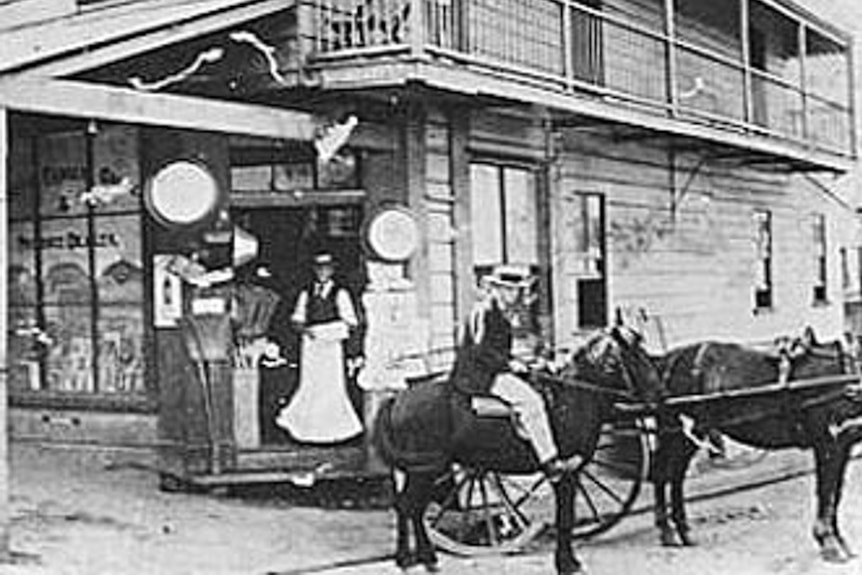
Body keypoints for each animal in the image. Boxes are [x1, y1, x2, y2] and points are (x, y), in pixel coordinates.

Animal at [372, 326, 668, 572]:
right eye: (633, 355)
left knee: (409, 506)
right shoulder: (566, 472)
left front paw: (568, 560)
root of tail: (398, 397)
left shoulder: (571, 472)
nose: (660, 396)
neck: (572, 396)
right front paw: (566, 563)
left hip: (422, 469)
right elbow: (565, 517)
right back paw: (420, 557)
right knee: (410, 506)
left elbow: (566, 516)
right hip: (425, 469)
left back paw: (413, 558)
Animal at [656, 328, 862, 564]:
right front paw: (829, 542)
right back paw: (668, 531)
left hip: (691, 433)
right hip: (677, 432)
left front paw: (839, 541)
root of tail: (669, 358)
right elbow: (827, 493)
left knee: (675, 476)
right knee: (664, 474)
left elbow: (836, 495)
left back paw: (682, 531)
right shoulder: (828, 443)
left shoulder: (844, 444)